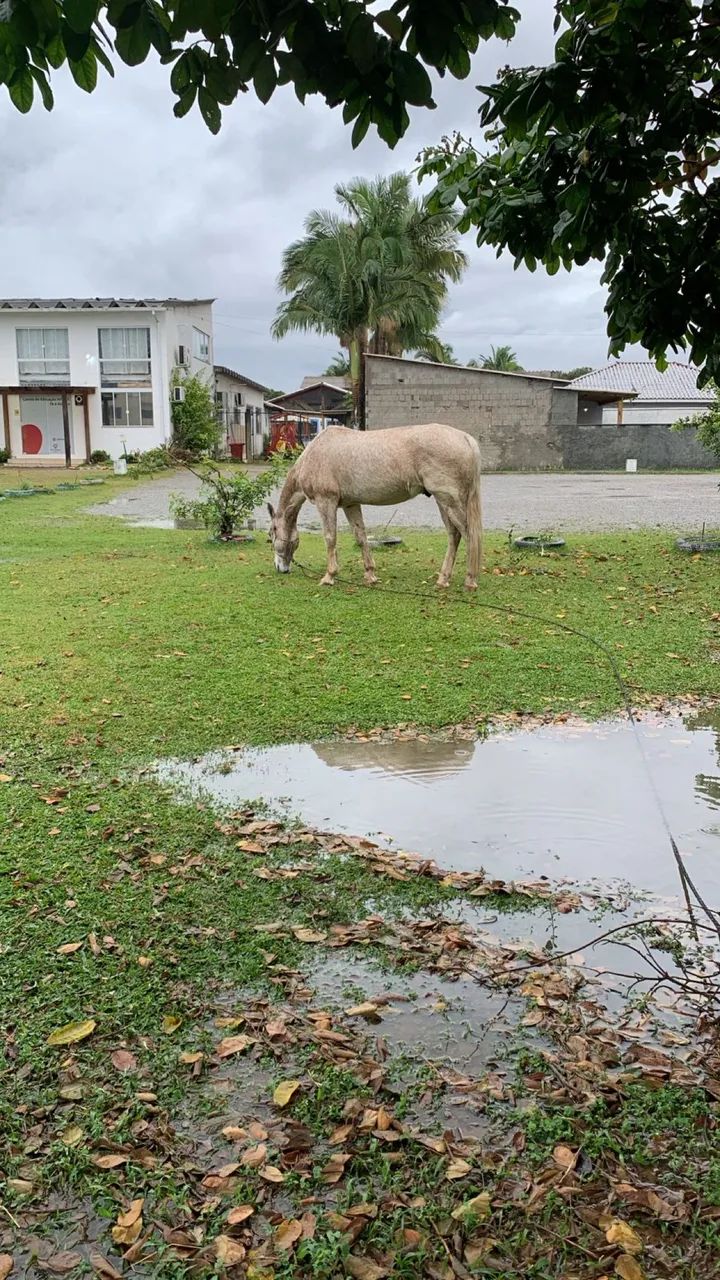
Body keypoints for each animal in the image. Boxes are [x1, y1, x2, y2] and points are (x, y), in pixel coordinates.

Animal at [267, 423, 483, 589]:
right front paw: (370, 575)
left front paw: (329, 576)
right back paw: (443, 579)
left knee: (468, 535)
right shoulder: (351, 504)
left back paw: (470, 580)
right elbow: (361, 537)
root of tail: (464, 437)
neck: (315, 455)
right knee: (454, 535)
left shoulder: (325, 501)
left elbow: (330, 538)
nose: (281, 568)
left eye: (271, 535)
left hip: (448, 500)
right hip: (443, 502)